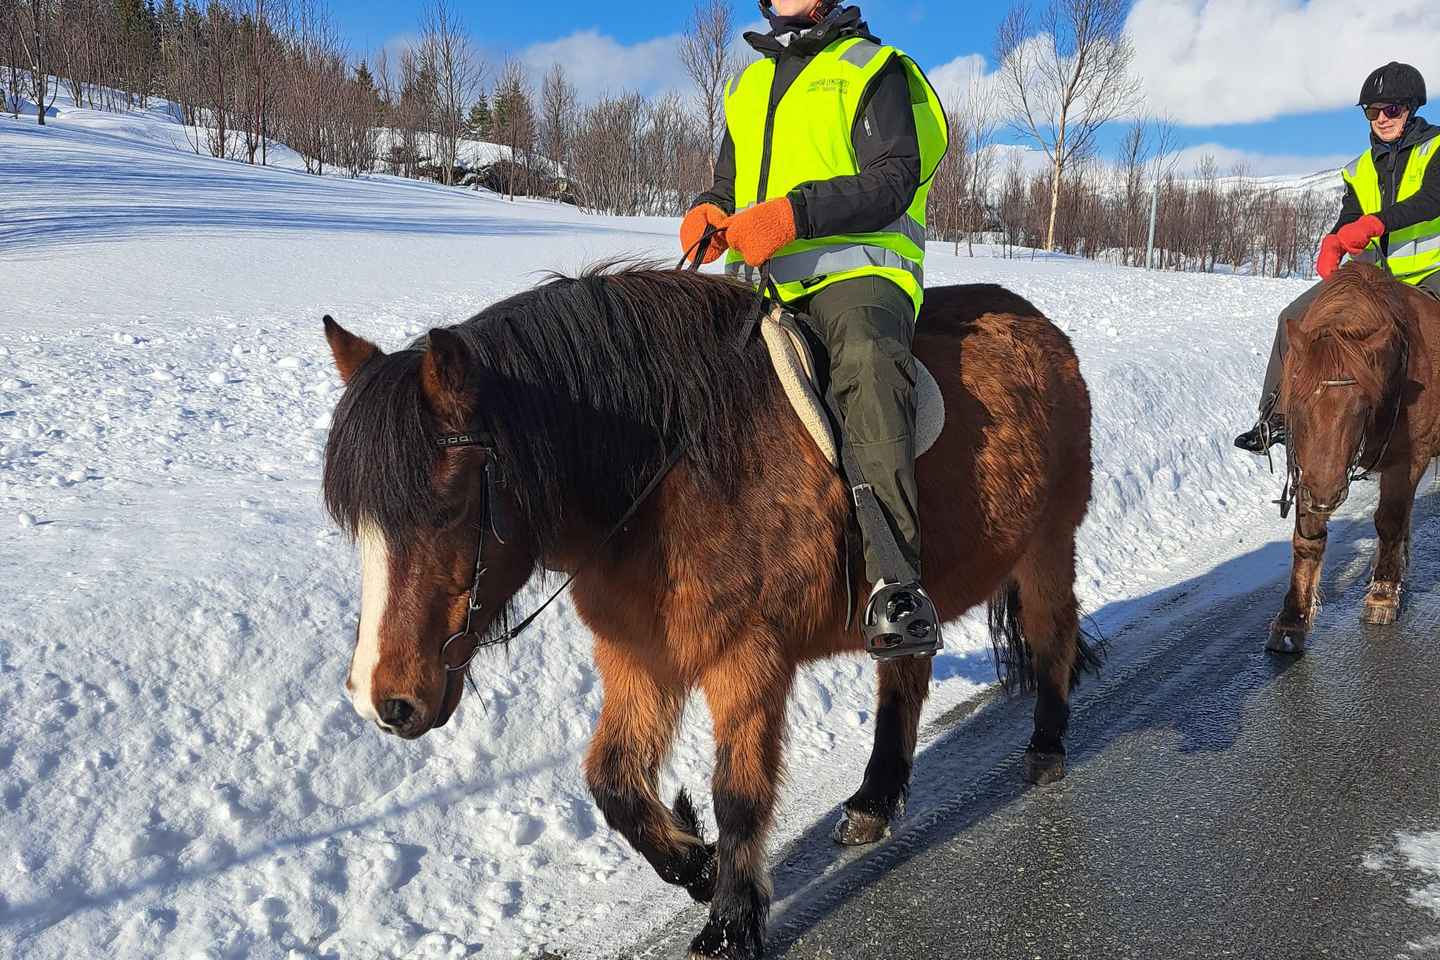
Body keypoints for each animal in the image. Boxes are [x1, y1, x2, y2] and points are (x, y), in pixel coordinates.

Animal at [320, 265, 1099, 960]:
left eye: (449, 506)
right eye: (357, 521)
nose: (382, 699)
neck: (668, 473)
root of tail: (1043, 330)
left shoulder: (748, 658)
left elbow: (738, 794)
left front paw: (730, 921)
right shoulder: (641, 656)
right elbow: (612, 782)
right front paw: (696, 864)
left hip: (1048, 545)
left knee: (1053, 637)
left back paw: (1045, 748)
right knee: (904, 681)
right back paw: (873, 803)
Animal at [1270, 262, 1440, 653]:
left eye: (1362, 407)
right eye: (1298, 403)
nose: (1327, 495)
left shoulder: (1409, 460)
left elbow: (1390, 521)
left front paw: (1383, 595)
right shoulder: (1309, 469)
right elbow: (1307, 537)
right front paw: (1292, 618)